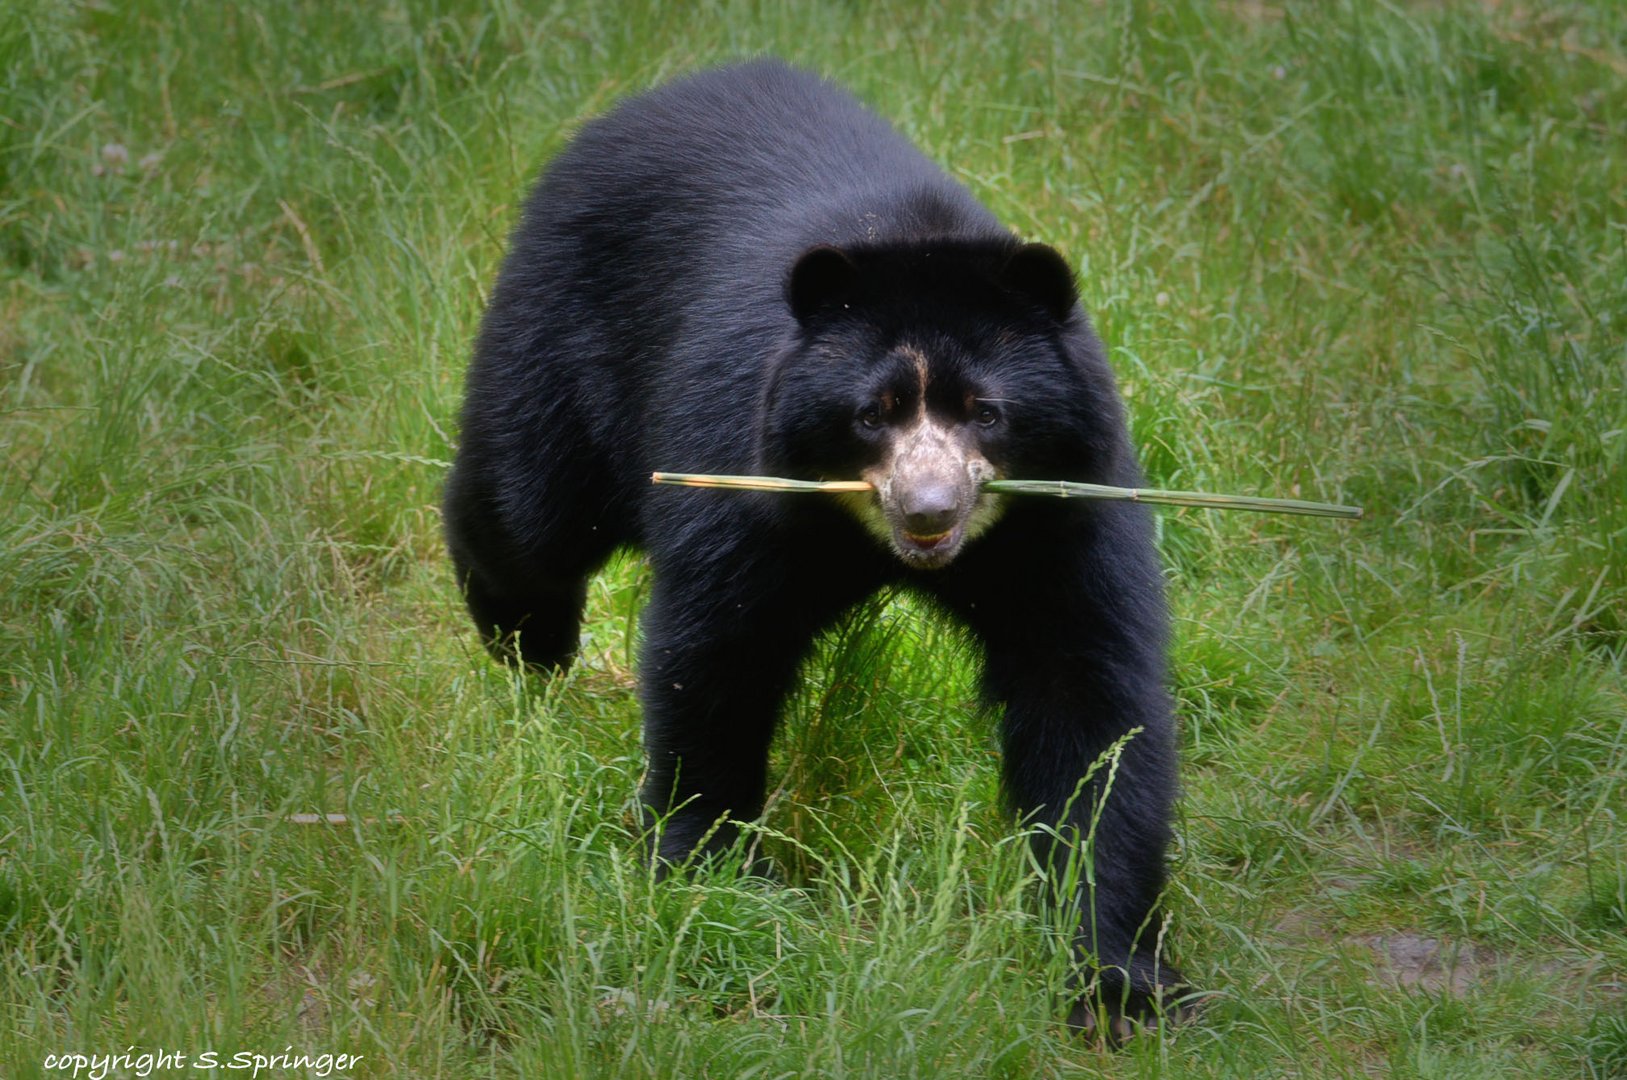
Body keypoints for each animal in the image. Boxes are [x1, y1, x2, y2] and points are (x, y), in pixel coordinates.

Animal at [445, 60, 1184, 1040]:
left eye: (986, 412)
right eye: (872, 413)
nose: (927, 511)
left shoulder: (1062, 520)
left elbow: (1091, 709)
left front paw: (1117, 982)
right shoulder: (743, 467)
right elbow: (717, 657)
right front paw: (711, 871)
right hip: (563, 333)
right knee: (528, 511)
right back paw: (525, 641)